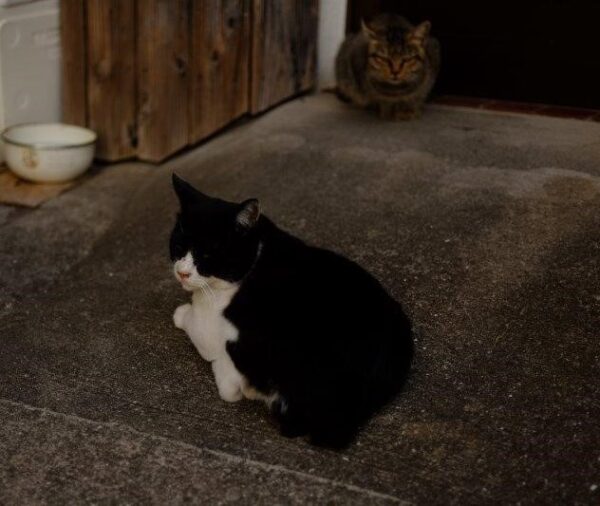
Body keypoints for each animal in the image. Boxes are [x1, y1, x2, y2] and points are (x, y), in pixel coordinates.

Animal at [170, 174, 414, 448]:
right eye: (178, 246)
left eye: (207, 254)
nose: (182, 273)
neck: (256, 255)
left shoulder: (208, 325)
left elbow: (194, 323)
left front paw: (182, 312)